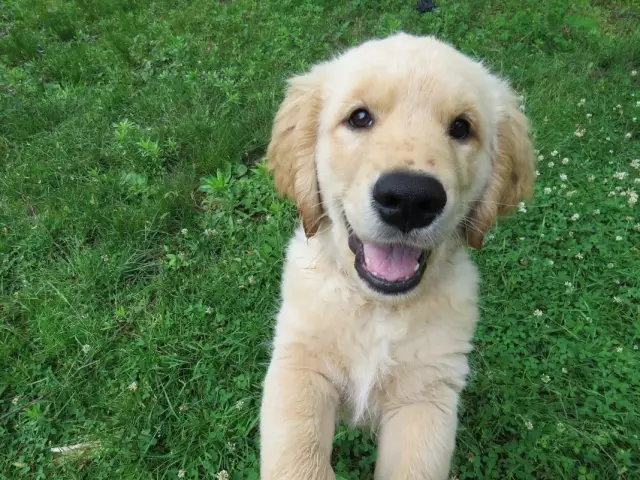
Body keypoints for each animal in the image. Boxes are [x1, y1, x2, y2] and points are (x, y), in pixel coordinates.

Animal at [260, 31, 536, 478]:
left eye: (462, 127)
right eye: (359, 117)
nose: (410, 199)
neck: (377, 310)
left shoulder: (428, 394)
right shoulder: (298, 367)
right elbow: (298, 461)